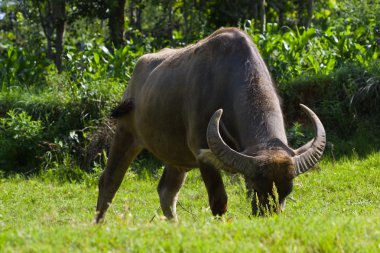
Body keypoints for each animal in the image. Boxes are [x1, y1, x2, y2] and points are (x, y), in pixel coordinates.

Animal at [93, 26, 326, 222]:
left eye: (287, 191)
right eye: (255, 187)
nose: (267, 216)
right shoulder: (201, 152)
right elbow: (219, 200)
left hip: (178, 157)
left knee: (167, 191)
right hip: (126, 133)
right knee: (109, 180)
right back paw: (99, 222)